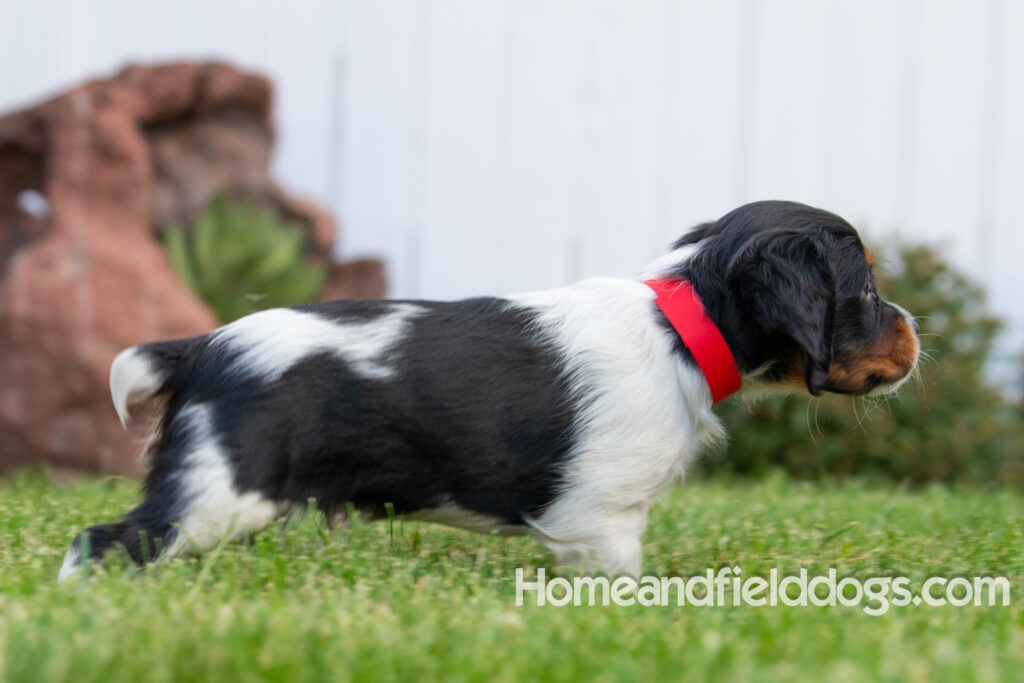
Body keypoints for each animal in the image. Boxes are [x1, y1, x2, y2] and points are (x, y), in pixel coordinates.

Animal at [58, 200, 921, 581]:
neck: (679, 327)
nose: (916, 333)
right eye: (866, 291)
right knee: (103, 541)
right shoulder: (602, 522)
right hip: (220, 490)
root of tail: (203, 345)